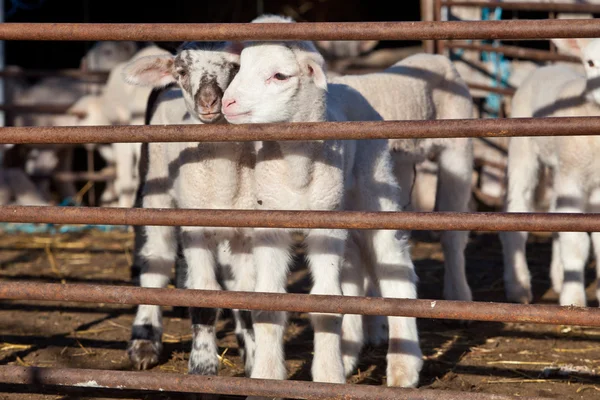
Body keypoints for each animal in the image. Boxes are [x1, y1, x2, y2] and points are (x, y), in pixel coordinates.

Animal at [119, 40, 258, 382]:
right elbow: (204, 297)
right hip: (155, 187)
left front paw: (257, 361)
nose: (209, 100)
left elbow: (248, 297)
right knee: (156, 259)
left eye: (234, 66)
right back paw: (144, 340)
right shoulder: (195, 227)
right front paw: (203, 365)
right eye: (182, 71)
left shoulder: (247, 230)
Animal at [220, 14, 422, 390]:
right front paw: (267, 375)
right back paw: (350, 352)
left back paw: (404, 368)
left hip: (375, 192)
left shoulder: (325, 225)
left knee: (396, 273)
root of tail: (349, 86)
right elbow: (267, 301)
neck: (296, 171)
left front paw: (328, 376)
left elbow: (328, 302)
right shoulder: (270, 225)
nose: (228, 103)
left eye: (279, 76)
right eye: (241, 67)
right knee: (354, 269)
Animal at [500, 37, 600, 306]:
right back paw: (519, 286)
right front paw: (573, 299)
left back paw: (558, 275)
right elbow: (576, 241)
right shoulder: (572, 177)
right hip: (524, 151)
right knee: (517, 208)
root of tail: (544, 68)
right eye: (590, 62)